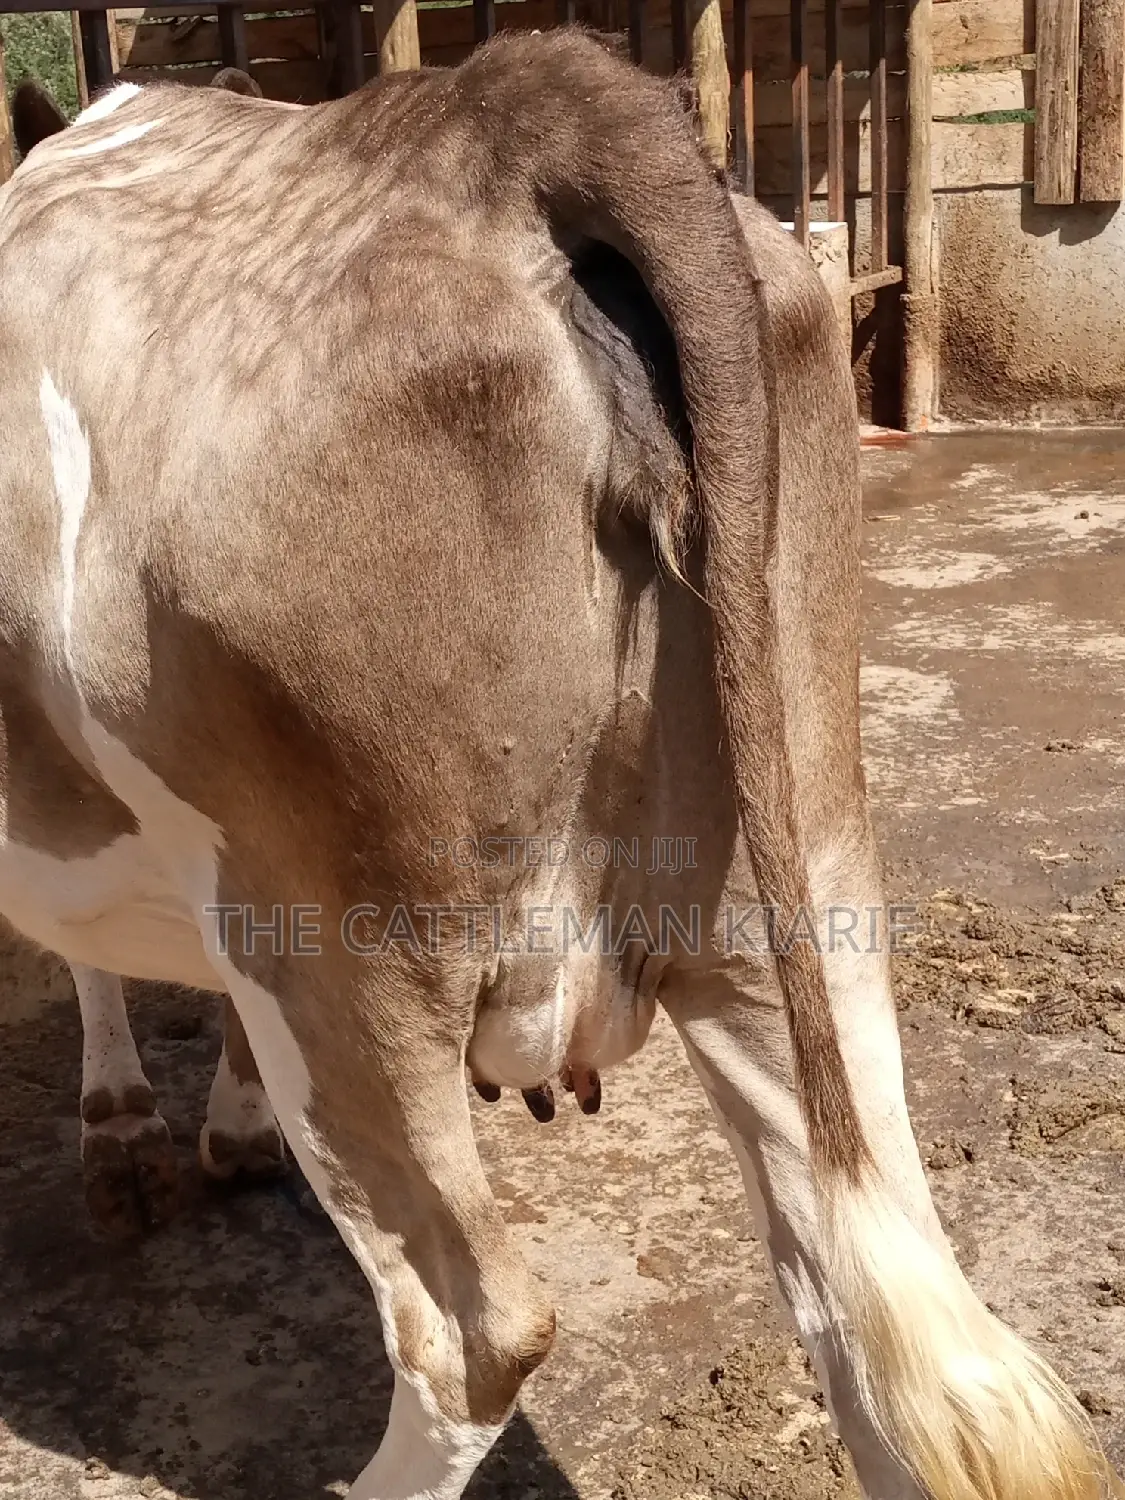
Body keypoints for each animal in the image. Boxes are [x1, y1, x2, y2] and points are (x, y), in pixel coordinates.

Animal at [0, 28, 1116, 1500]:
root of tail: (512, 115)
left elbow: (81, 955)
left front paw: (134, 1126)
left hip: (330, 939)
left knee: (471, 1333)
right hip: (792, 876)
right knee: (891, 1317)